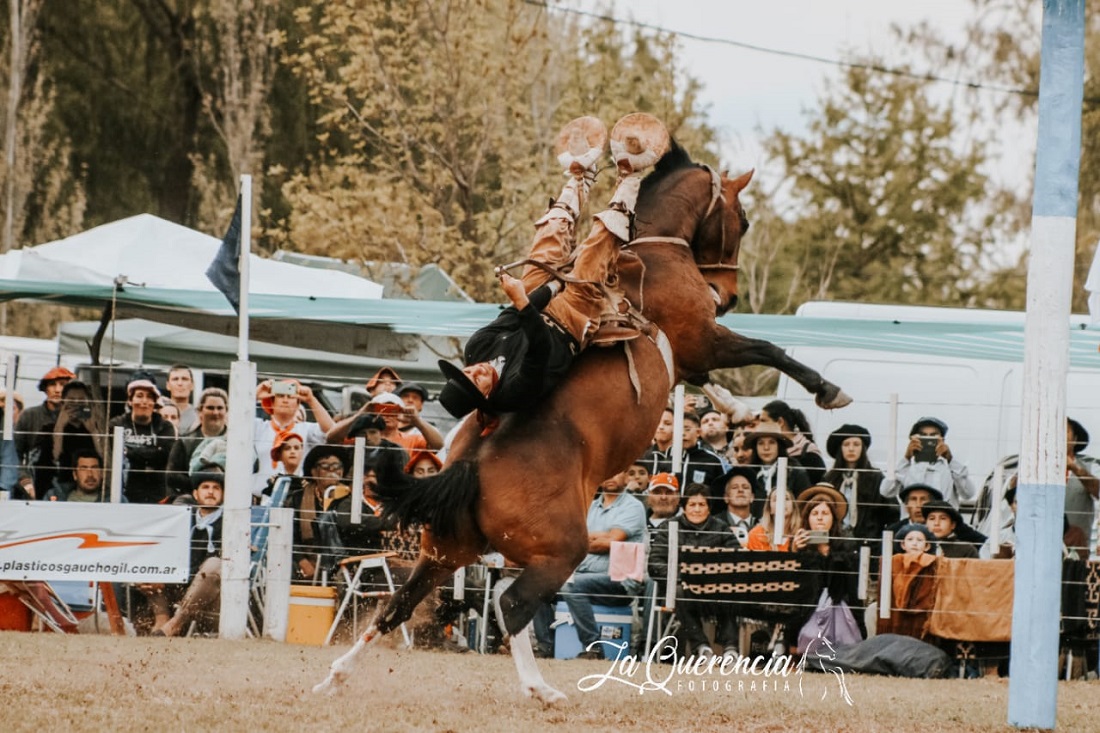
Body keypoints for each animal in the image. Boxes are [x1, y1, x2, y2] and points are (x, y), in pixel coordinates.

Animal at [314, 138, 844, 704]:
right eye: (741, 221)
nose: (729, 295)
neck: (650, 253)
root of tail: (469, 469)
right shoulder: (704, 339)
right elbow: (767, 349)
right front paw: (829, 390)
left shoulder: (693, 359)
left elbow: (710, 381)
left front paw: (739, 409)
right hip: (558, 552)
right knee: (511, 605)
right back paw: (542, 689)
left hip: (442, 553)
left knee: (397, 607)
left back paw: (335, 676)